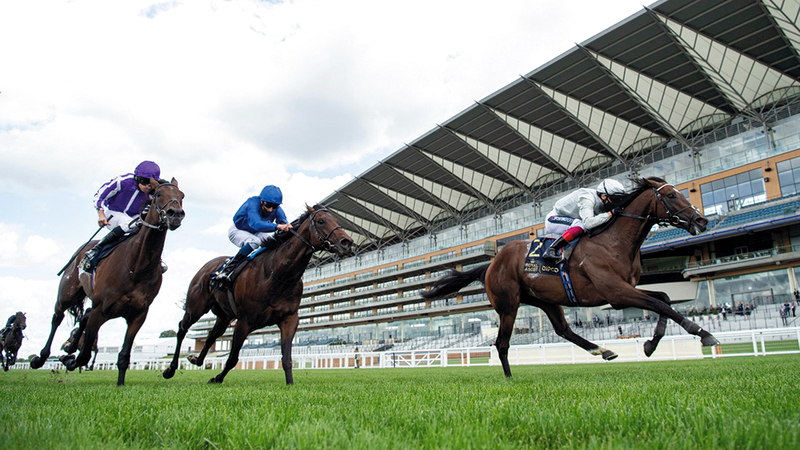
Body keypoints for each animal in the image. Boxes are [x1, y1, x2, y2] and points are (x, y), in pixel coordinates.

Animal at [30, 179, 185, 385]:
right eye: (158, 194)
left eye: (182, 195)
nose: (175, 214)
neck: (136, 266)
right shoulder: (101, 309)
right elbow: (84, 355)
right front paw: (68, 360)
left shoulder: (138, 314)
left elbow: (124, 355)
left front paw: (120, 384)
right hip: (67, 294)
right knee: (57, 317)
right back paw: (41, 358)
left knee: (83, 316)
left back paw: (69, 349)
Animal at [162, 203, 352, 385]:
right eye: (321, 221)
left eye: (337, 220)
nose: (347, 241)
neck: (278, 274)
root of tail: (208, 266)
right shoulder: (244, 321)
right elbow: (232, 358)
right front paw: (217, 378)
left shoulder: (289, 319)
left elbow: (287, 358)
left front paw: (290, 384)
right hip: (196, 307)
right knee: (182, 329)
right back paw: (170, 369)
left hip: (224, 316)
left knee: (210, 337)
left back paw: (197, 360)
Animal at [421, 177, 718, 378]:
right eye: (669, 195)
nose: (701, 221)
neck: (614, 241)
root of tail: (492, 263)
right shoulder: (616, 293)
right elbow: (659, 304)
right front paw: (703, 333)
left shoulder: (625, 291)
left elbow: (665, 299)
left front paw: (651, 343)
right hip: (508, 305)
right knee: (502, 343)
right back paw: (509, 377)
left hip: (546, 300)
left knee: (563, 330)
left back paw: (603, 350)